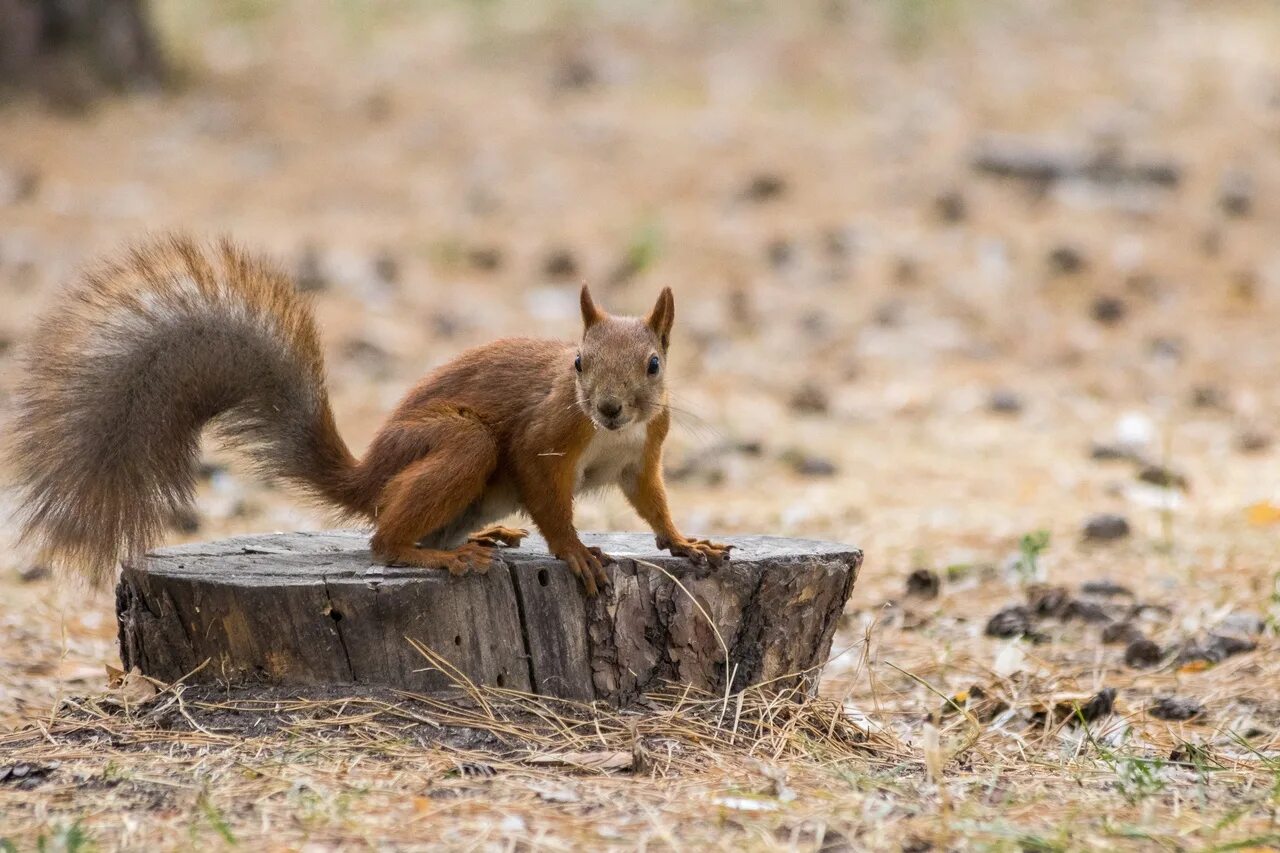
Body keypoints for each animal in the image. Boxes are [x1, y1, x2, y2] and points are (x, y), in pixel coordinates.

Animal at [5, 233, 732, 591]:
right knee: (380, 541)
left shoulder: (644, 454)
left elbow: (653, 503)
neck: (613, 435)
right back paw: (440, 558)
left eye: (654, 365)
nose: (608, 409)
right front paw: (577, 553)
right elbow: (550, 500)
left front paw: (686, 541)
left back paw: (481, 538)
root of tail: (368, 474)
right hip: (458, 445)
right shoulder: (543, 436)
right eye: (577, 362)